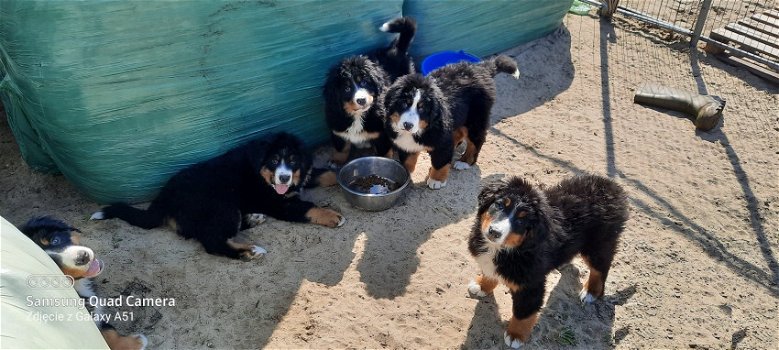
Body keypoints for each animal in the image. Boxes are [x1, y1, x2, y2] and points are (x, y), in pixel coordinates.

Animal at [21, 216, 148, 350]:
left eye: (55, 240)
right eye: (54, 265)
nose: (83, 257)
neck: (78, 285)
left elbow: (108, 331)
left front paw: (131, 343)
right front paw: (137, 342)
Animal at [90, 133, 342, 262]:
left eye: (292, 160)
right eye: (273, 160)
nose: (283, 177)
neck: (261, 174)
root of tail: (163, 198)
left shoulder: (301, 176)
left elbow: (324, 174)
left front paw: (339, 174)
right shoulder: (279, 203)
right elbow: (307, 207)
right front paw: (333, 216)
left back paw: (254, 218)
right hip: (222, 206)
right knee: (212, 241)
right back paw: (249, 251)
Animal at [322, 16, 418, 164]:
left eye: (364, 82)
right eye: (346, 88)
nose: (361, 100)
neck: (357, 115)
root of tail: (396, 49)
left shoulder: (382, 134)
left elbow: (383, 153)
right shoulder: (337, 128)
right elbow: (341, 149)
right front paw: (336, 162)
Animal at [382, 56, 516, 190]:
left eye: (422, 108)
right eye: (404, 103)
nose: (408, 125)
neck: (421, 129)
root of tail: (480, 67)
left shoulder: (442, 140)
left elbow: (440, 161)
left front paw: (436, 180)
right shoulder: (406, 145)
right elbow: (407, 160)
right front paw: (407, 174)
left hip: (475, 119)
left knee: (476, 140)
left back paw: (465, 161)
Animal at [470, 175, 628, 348]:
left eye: (521, 221)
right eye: (499, 205)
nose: (494, 232)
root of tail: (612, 186)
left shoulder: (531, 285)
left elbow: (524, 313)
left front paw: (515, 335)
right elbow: (489, 273)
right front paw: (482, 285)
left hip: (599, 244)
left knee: (601, 268)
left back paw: (591, 292)